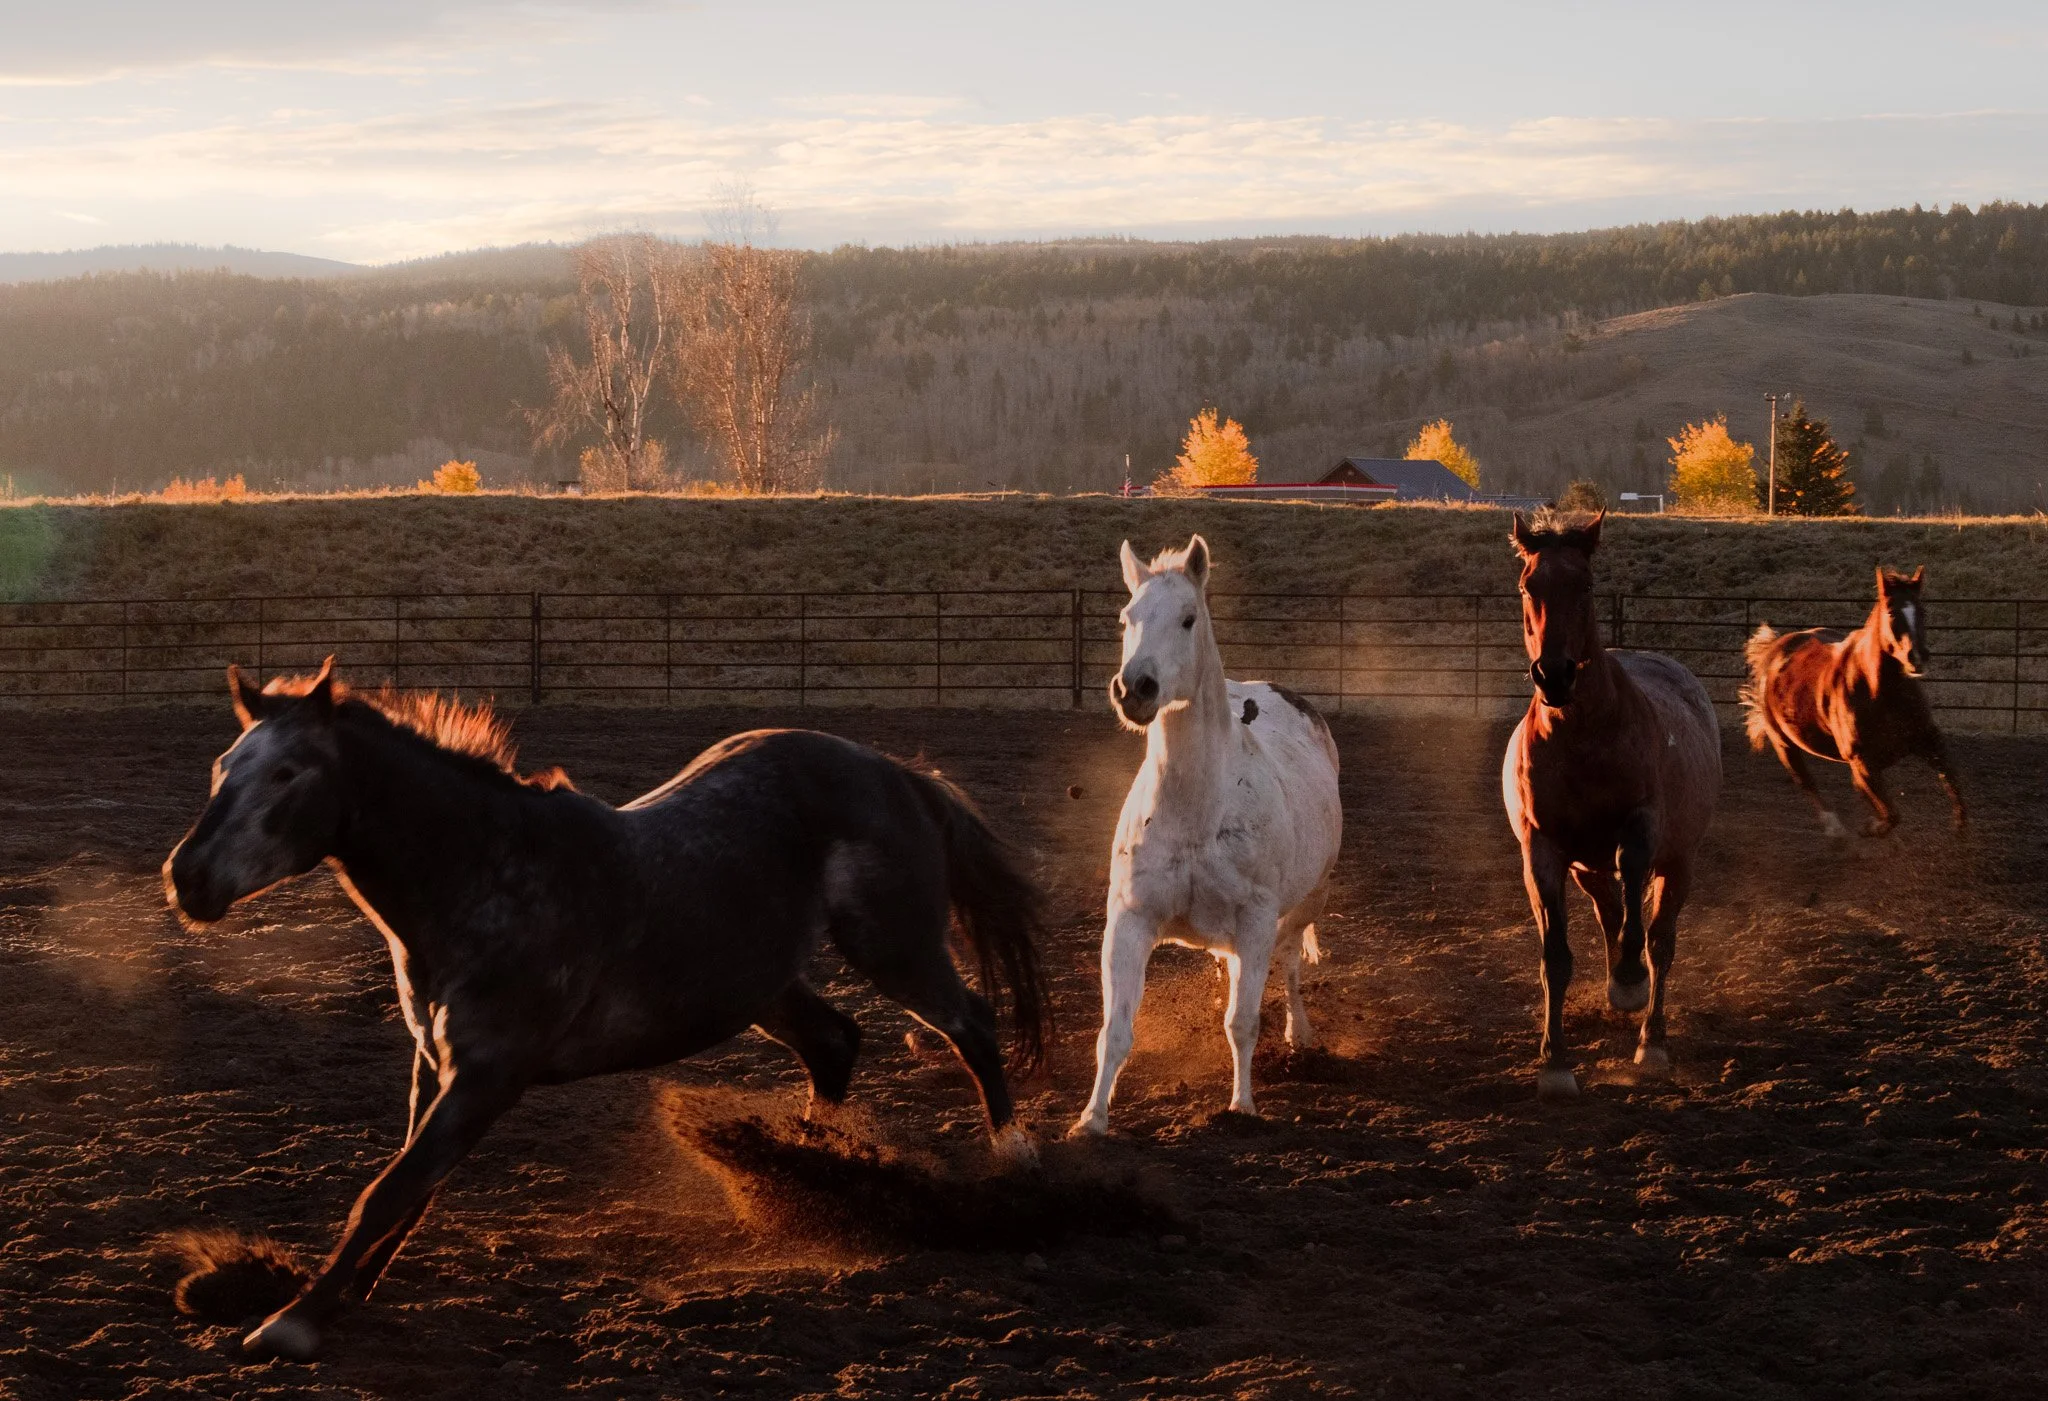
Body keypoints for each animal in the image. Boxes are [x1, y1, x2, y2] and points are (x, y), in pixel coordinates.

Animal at [163, 660, 1048, 1360]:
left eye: (287, 773)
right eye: (222, 764)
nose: (187, 877)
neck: (480, 875)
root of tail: (895, 771)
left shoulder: (488, 1075)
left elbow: (389, 1189)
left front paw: (294, 1318)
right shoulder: (433, 1061)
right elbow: (407, 1185)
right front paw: (340, 1292)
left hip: (893, 944)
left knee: (970, 1025)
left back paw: (1014, 1161)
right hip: (758, 983)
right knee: (834, 1042)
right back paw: (811, 1171)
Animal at [1070, 535, 1343, 1135]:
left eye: (1188, 617)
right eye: (1127, 617)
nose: (1135, 688)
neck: (1196, 809)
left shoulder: (1257, 922)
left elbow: (1242, 1022)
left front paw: (1242, 1105)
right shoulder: (1129, 921)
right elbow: (1114, 1032)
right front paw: (1091, 1119)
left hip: (1306, 903)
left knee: (1289, 964)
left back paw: (1300, 1034)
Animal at [1502, 511, 1721, 1099]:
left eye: (1586, 584)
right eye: (1528, 586)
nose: (1554, 675)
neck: (1581, 736)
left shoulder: (1640, 831)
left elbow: (1641, 928)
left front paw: (1628, 984)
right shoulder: (1544, 851)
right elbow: (1555, 957)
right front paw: (1555, 1064)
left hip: (1680, 862)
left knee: (1660, 942)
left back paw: (1651, 1040)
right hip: (1588, 870)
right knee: (1612, 914)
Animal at [1742, 566, 1965, 837]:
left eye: (1922, 611)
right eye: (1891, 611)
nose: (1918, 656)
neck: (1884, 694)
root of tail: (1774, 650)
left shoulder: (1929, 739)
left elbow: (1952, 778)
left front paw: (1959, 825)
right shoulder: (1863, 762)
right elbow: (1891, 815)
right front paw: (1870, 828)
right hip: (1784, 743)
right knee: (1806, 782)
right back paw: (1836, 832)